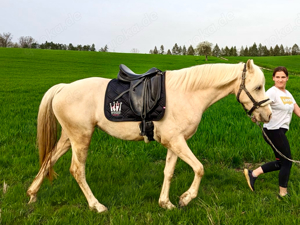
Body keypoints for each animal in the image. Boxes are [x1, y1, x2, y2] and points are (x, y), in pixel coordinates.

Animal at [27, 59, 272, 213]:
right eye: (258, 87)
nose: (268, 115)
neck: (187, 93)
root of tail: (63, 88)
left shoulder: (174, 142)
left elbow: (169, 172)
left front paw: (166, 203)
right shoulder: (176, 141)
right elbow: (200, 168)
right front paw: (185, 198)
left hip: (69, 138)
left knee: (50, 159)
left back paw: (32, 194)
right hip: (80, 138)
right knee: (77, 170)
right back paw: (97, 206)